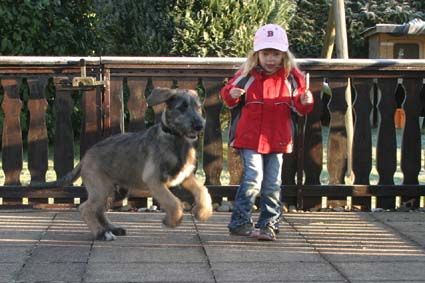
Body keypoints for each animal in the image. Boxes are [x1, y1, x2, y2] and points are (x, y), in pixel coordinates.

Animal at [46, 87, 212, 241]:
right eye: (182, 107)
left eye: (198, 107)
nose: (199, 125)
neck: (175, 139)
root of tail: (85, 157)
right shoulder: (154, 181)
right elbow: (173, 202)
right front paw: (172, 221)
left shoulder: (185, 176)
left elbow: (202, 190)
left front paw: (203, 212)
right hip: (100, 188)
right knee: (86, 208)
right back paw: (100, 233)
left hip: (113, 191)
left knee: (98, 211)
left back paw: (112, 229)